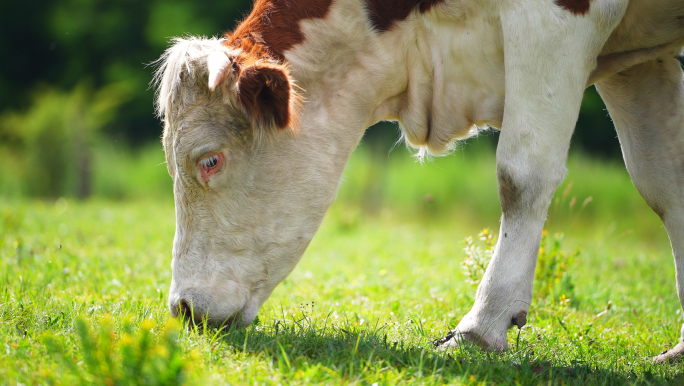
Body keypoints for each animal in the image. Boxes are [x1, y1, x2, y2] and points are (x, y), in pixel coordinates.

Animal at [155, 0, 684, 362]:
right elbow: (664, 180)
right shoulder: (635, 61)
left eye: (209, 160)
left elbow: (522, 174)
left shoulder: (558, 21)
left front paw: (480, 327)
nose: (182, 308)